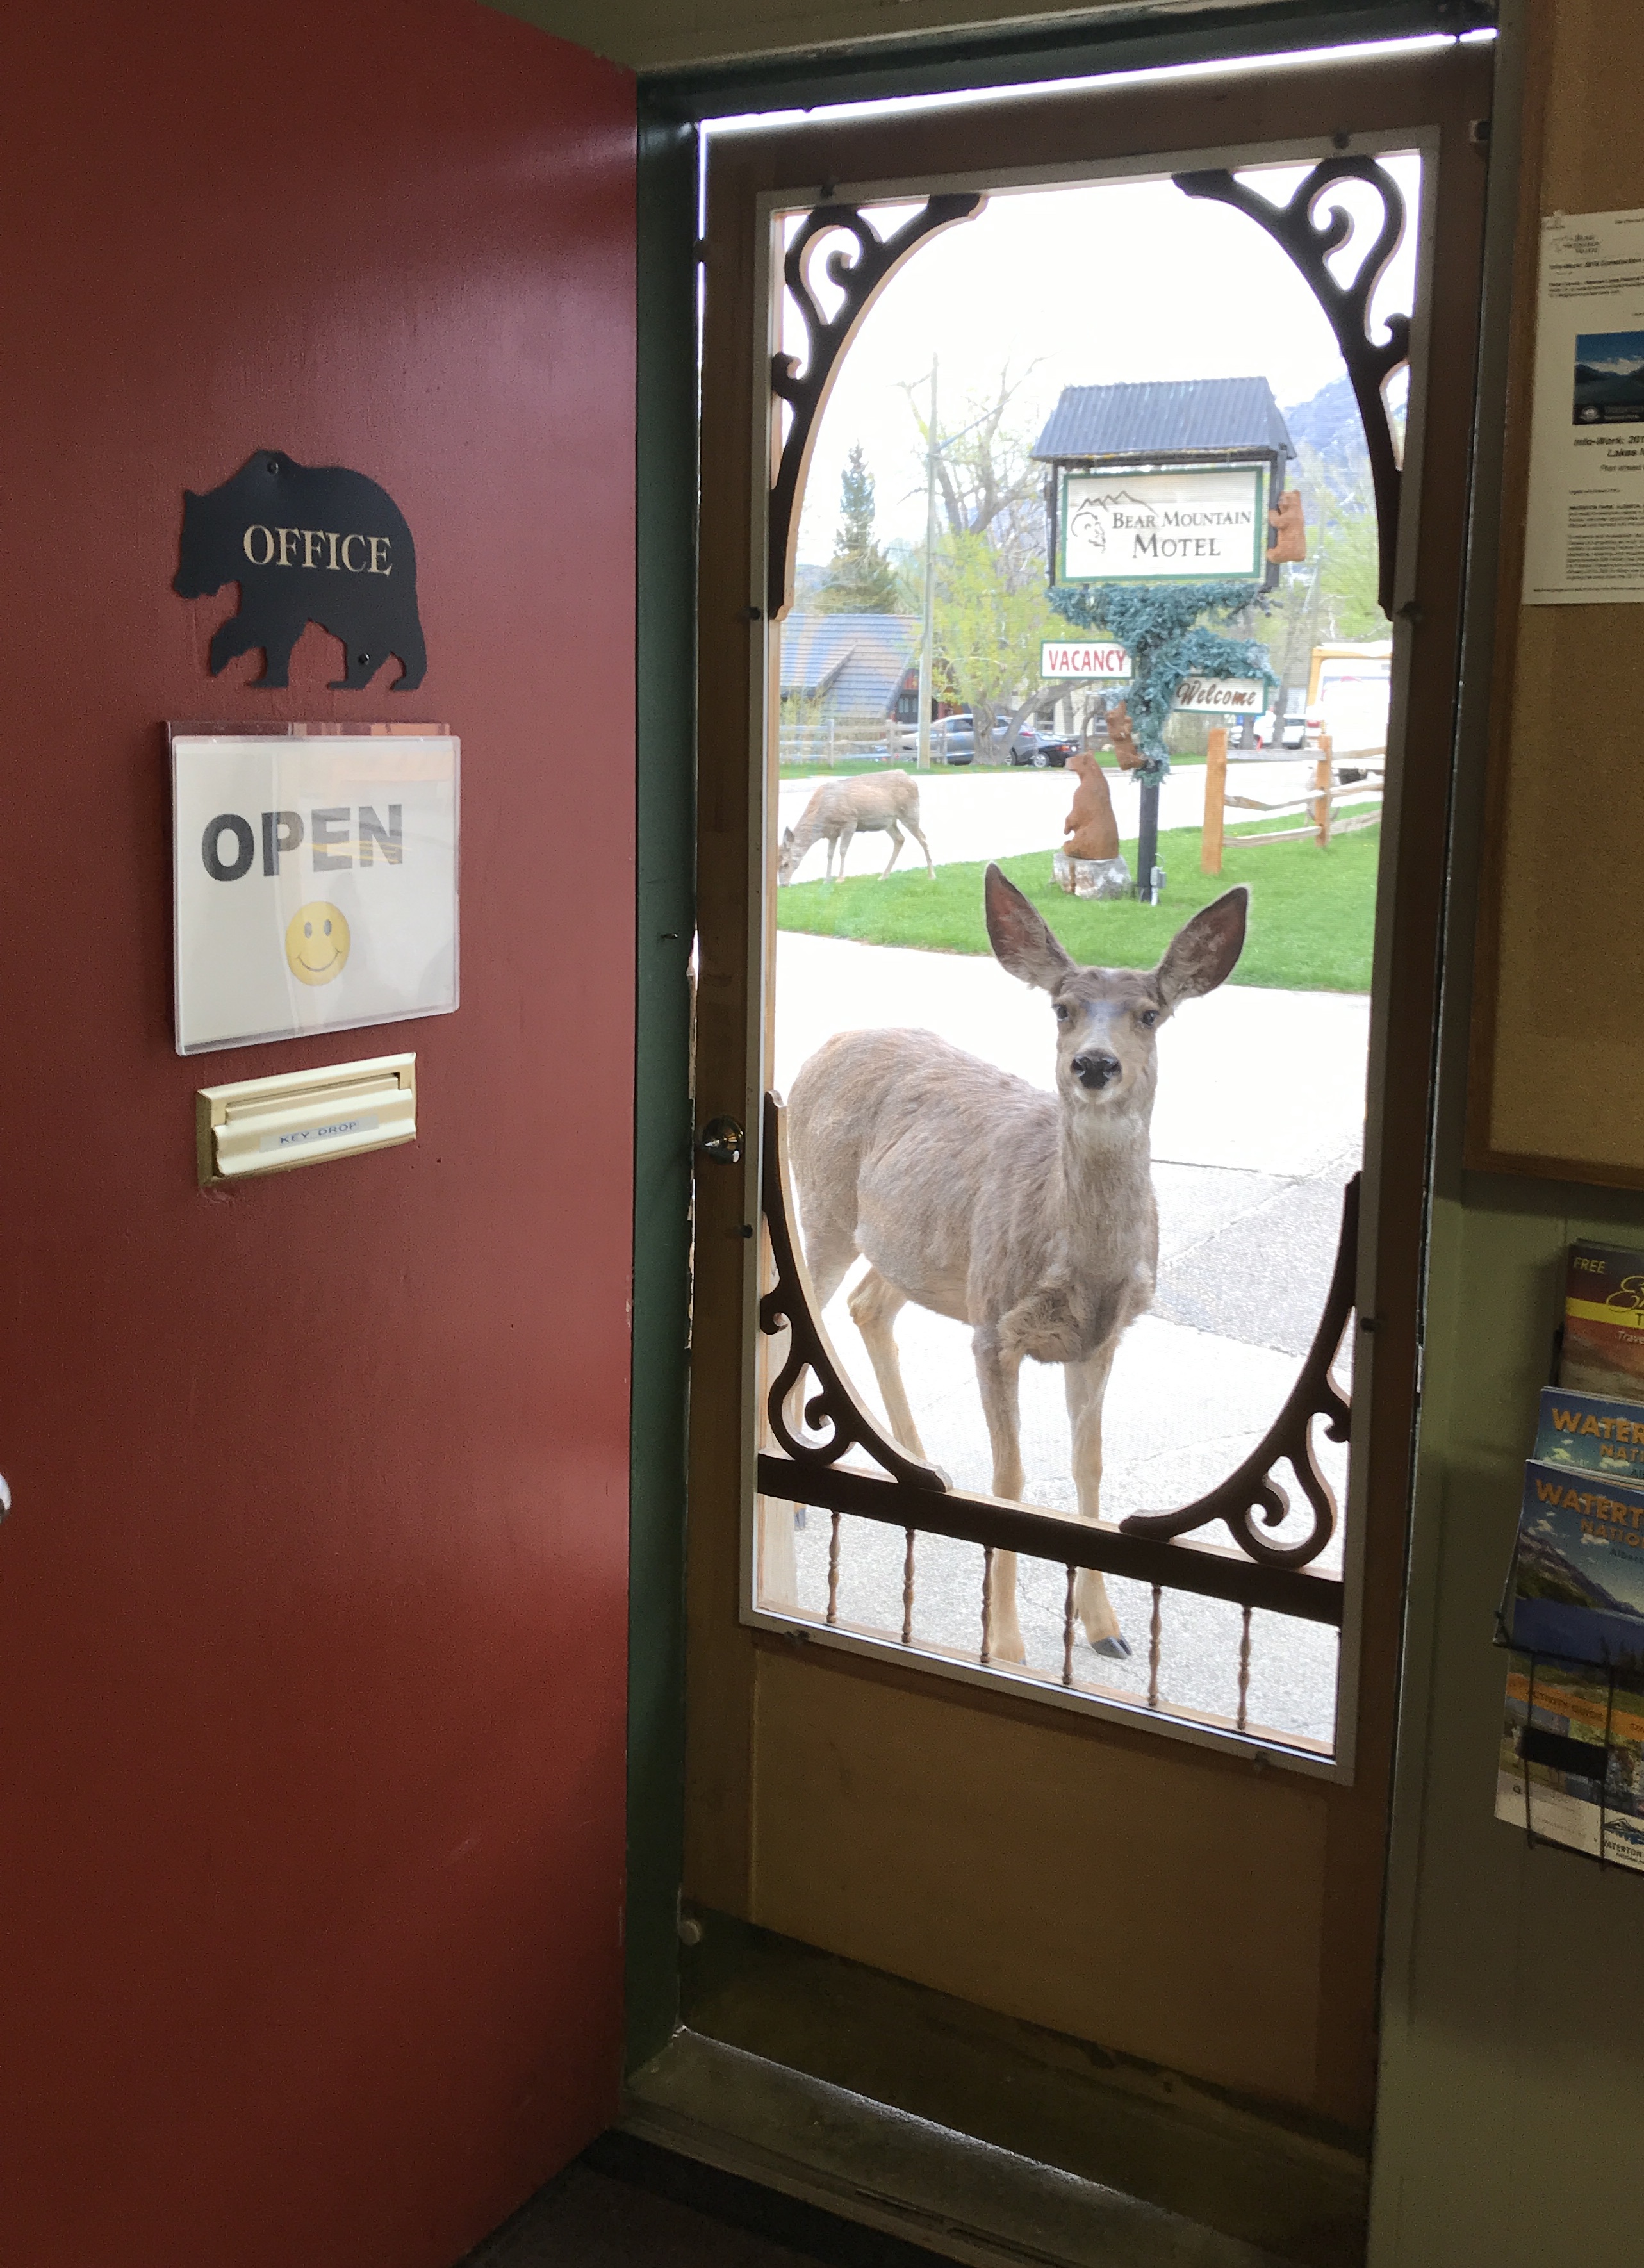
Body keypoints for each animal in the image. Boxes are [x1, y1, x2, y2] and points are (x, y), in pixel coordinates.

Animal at [174, 450, 426, 691]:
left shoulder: (286, 583)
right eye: (184, 543)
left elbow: (270, 624)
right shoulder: (258, 581)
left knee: (395, 630)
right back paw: (354, 679)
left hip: (372, 594)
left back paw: (404, 677)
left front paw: (225, 656)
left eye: (192, 547)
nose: (181, 585)